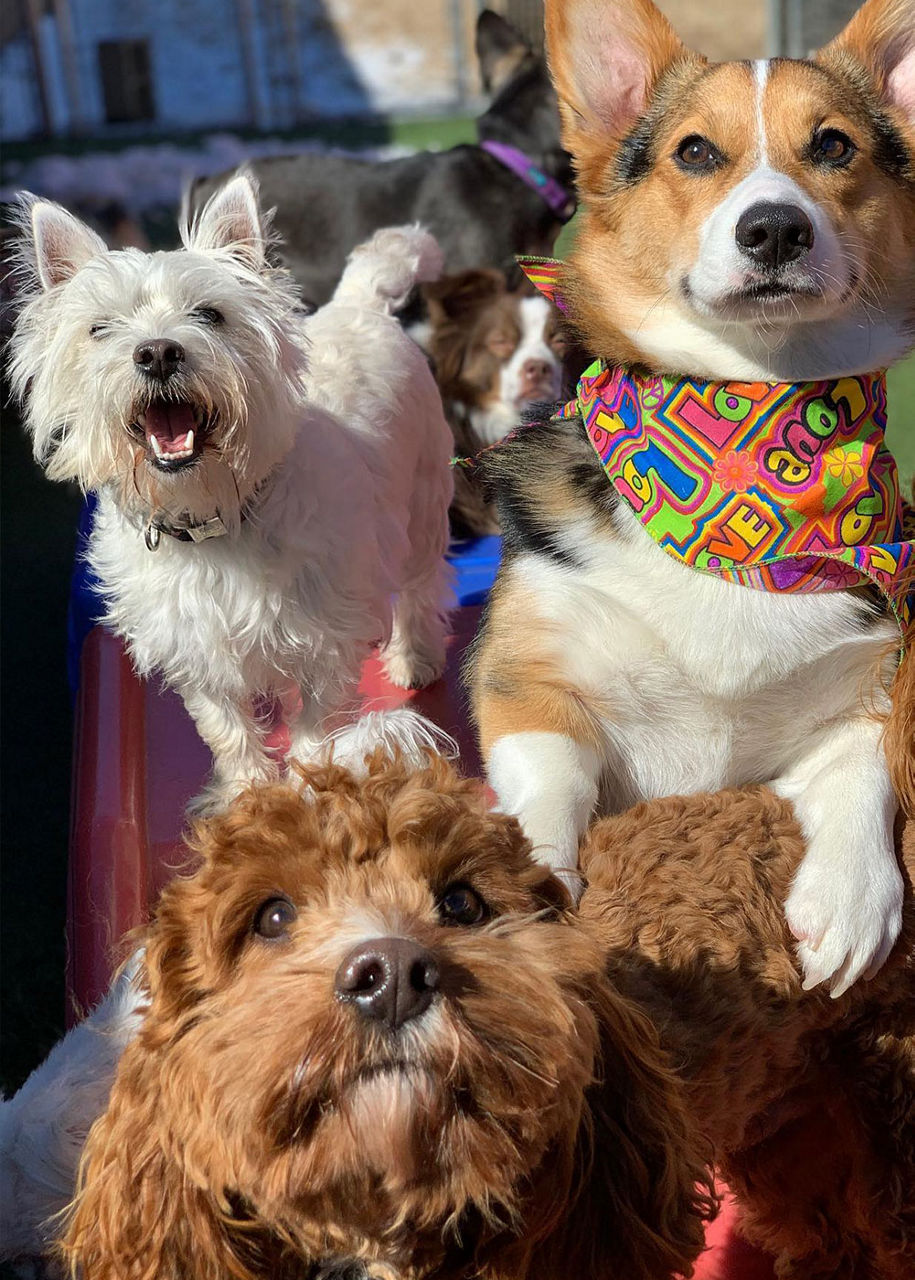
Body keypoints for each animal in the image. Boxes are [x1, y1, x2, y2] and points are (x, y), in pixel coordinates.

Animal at [12, 176, 455, 803]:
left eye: (210, 314)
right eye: (100, 328)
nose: (157, 352)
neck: (212, 514)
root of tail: (357, 304)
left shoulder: (323, 641)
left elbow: (316, 728)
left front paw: (311, 790)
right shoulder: (196, 650)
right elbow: (226, 728)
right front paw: (249, 793)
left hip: (422, 501)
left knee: (422, 584)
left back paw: (414, 657)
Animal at [473, 0, 915, 998]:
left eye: (832, 146)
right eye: (695, 152)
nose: (775, 231)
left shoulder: (873, 684)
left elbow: (865, 766)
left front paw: (850, 900)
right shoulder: (525, 682)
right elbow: (547, 782)